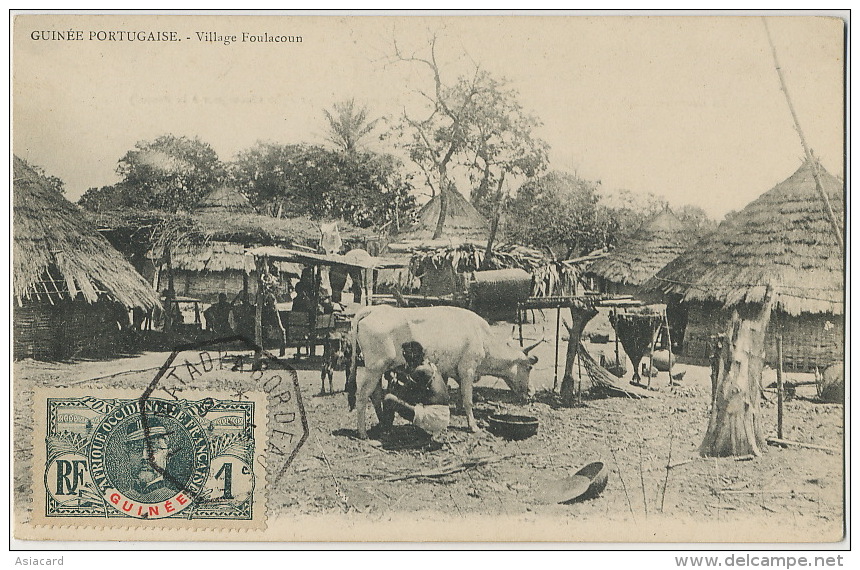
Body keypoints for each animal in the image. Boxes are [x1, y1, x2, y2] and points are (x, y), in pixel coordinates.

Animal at [348, 304, 536, 438]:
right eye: (529, 367)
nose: (531, 391)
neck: (482, 337)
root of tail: (374, 309)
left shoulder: (450, 372)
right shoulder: (467, 369)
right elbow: (467, 399)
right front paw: (474, 426)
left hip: (378, 370)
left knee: (375, 395)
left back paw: (383, 425)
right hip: (374, 368)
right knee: (362, 395)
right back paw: (362, 433)